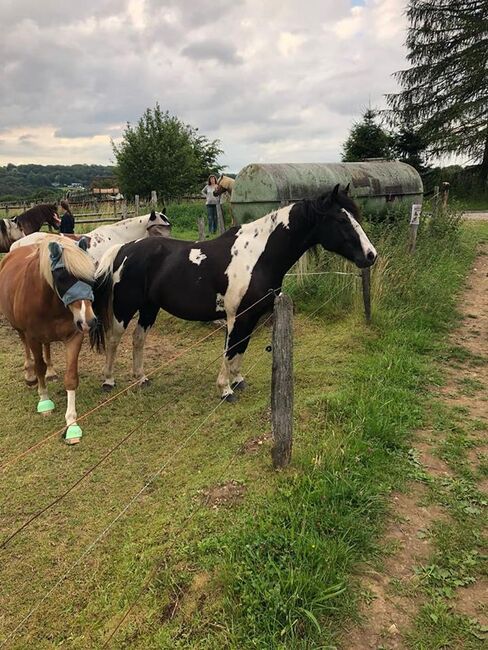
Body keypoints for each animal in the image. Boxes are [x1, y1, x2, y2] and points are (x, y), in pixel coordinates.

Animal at [0, 235, 98, 442]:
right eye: (62, 277)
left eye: (90, 277)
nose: (89, 321)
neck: (50, 302)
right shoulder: (33, 337)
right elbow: (39, 366)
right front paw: (44, 401)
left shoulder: (74, 336)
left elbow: (71, 378)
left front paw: (71, 424)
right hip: (19, 329)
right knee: (27, 351)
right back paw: (30, 376)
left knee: (47, 347)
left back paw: (51, 371)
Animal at [92, 182, 378, 402]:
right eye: (341, 219)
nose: (371, 255)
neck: (258, 257)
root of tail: (124, 249)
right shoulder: (236, 315)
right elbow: (230, 348)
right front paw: (225, 389)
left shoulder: (252, 314)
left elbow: (242, 346)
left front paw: (238, 379)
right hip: (124, 308)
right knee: (114, 339)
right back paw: (108, 380)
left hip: (150, 307)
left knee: (138, 339)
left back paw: (141, 378)